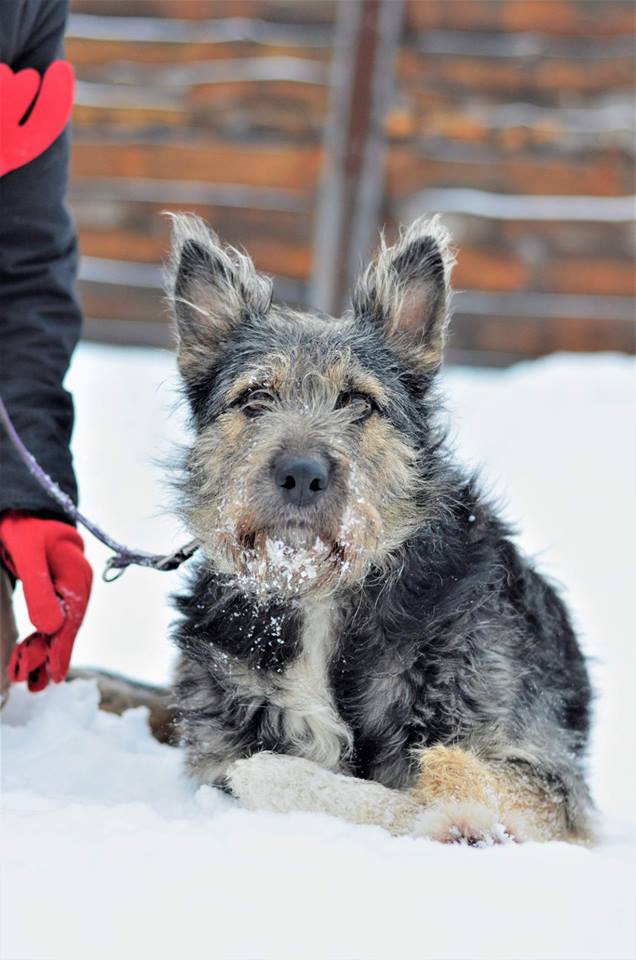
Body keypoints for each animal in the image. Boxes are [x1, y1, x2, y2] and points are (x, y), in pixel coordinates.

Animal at [168, 214, 592, 844]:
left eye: (360, 402)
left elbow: (451, 778)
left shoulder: (548, 777)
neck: (321, 592)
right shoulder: (218, 745)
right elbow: (261, 768)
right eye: (255, 397)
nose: (301, 474)